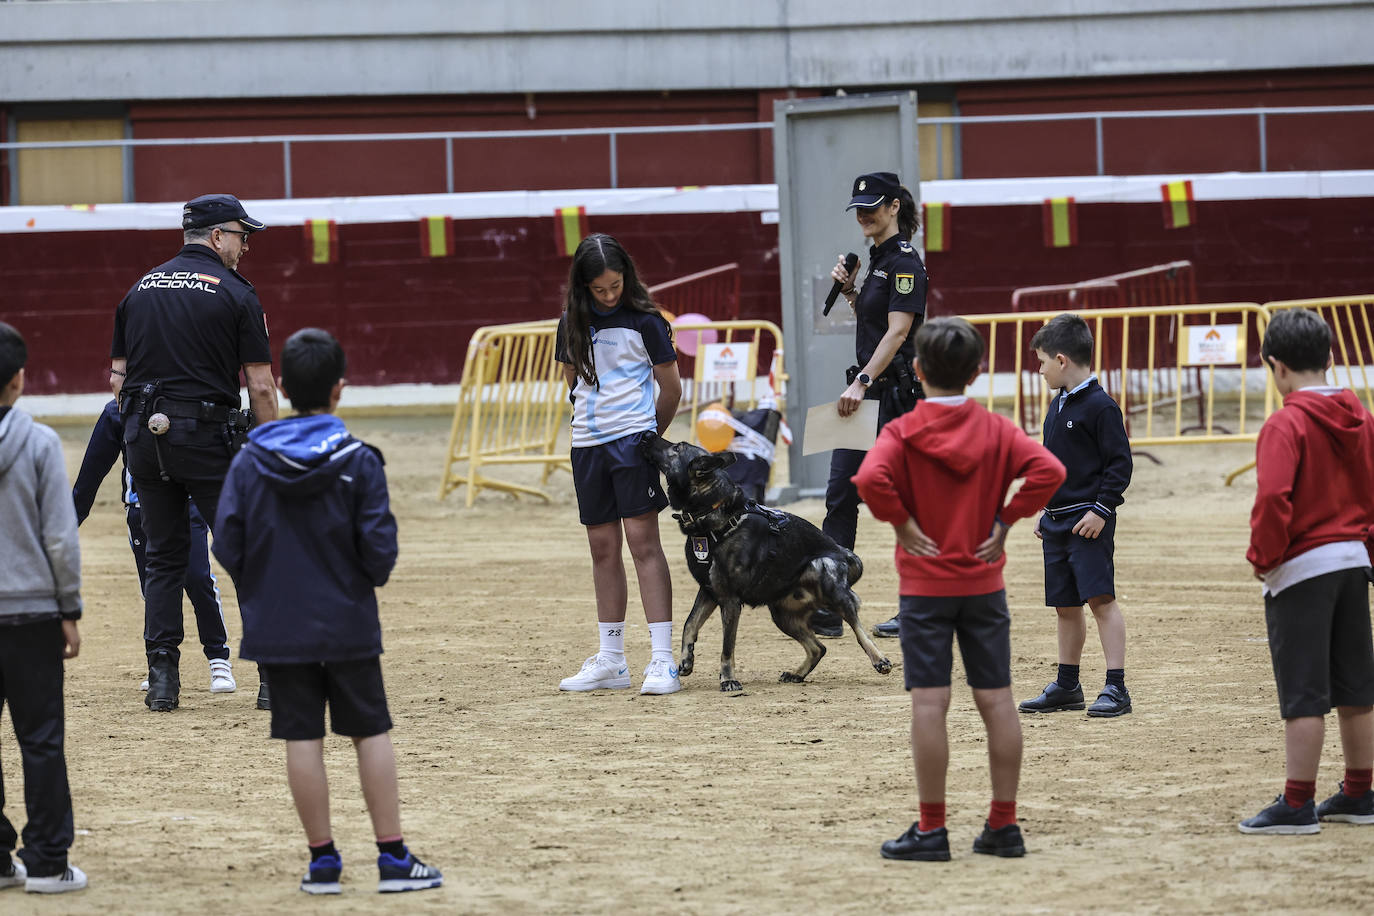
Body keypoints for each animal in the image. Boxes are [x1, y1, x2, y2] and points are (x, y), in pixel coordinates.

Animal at [640, 433, 890, 692]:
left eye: (677, 448)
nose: (647, 435)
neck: (716, 515)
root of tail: (843, 552)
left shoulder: (729, 600)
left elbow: (727, 646)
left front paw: (728, 679)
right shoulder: (709, 592)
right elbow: (689, 624)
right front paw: (686, 659)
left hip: (825, 580)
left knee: (857, 628)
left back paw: (879, 659)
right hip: (782, 615)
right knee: (818, 648)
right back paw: (797, 674)